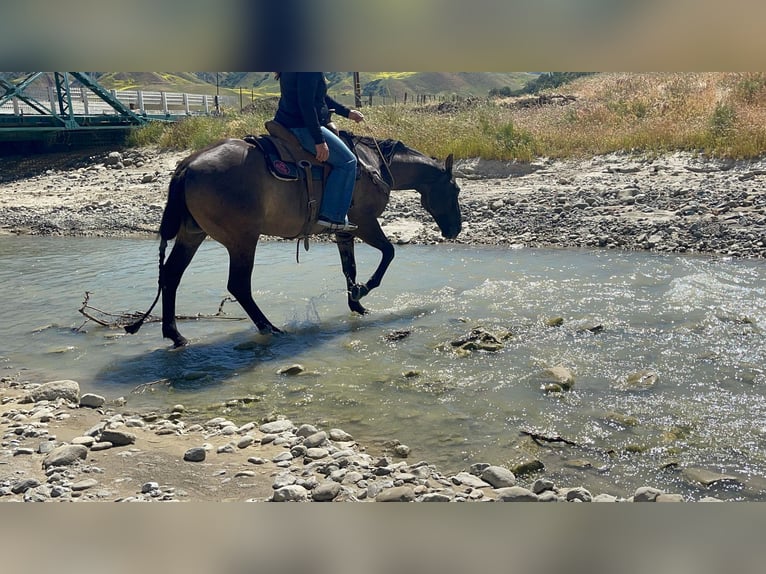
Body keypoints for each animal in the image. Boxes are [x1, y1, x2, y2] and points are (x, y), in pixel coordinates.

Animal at [126, 132, 462, 346]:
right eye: (456, 190)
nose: (455, 230)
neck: (372, 165)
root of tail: (187, 165)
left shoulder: (344, 230)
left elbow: (349, 268)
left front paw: (356, 303)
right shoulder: (365, 223)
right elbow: (388, 253)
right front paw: (363, 290)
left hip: (193, 234)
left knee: (171, 276)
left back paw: (176, 335)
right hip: (242, 240)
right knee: (238, 285)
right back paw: (270, 328)